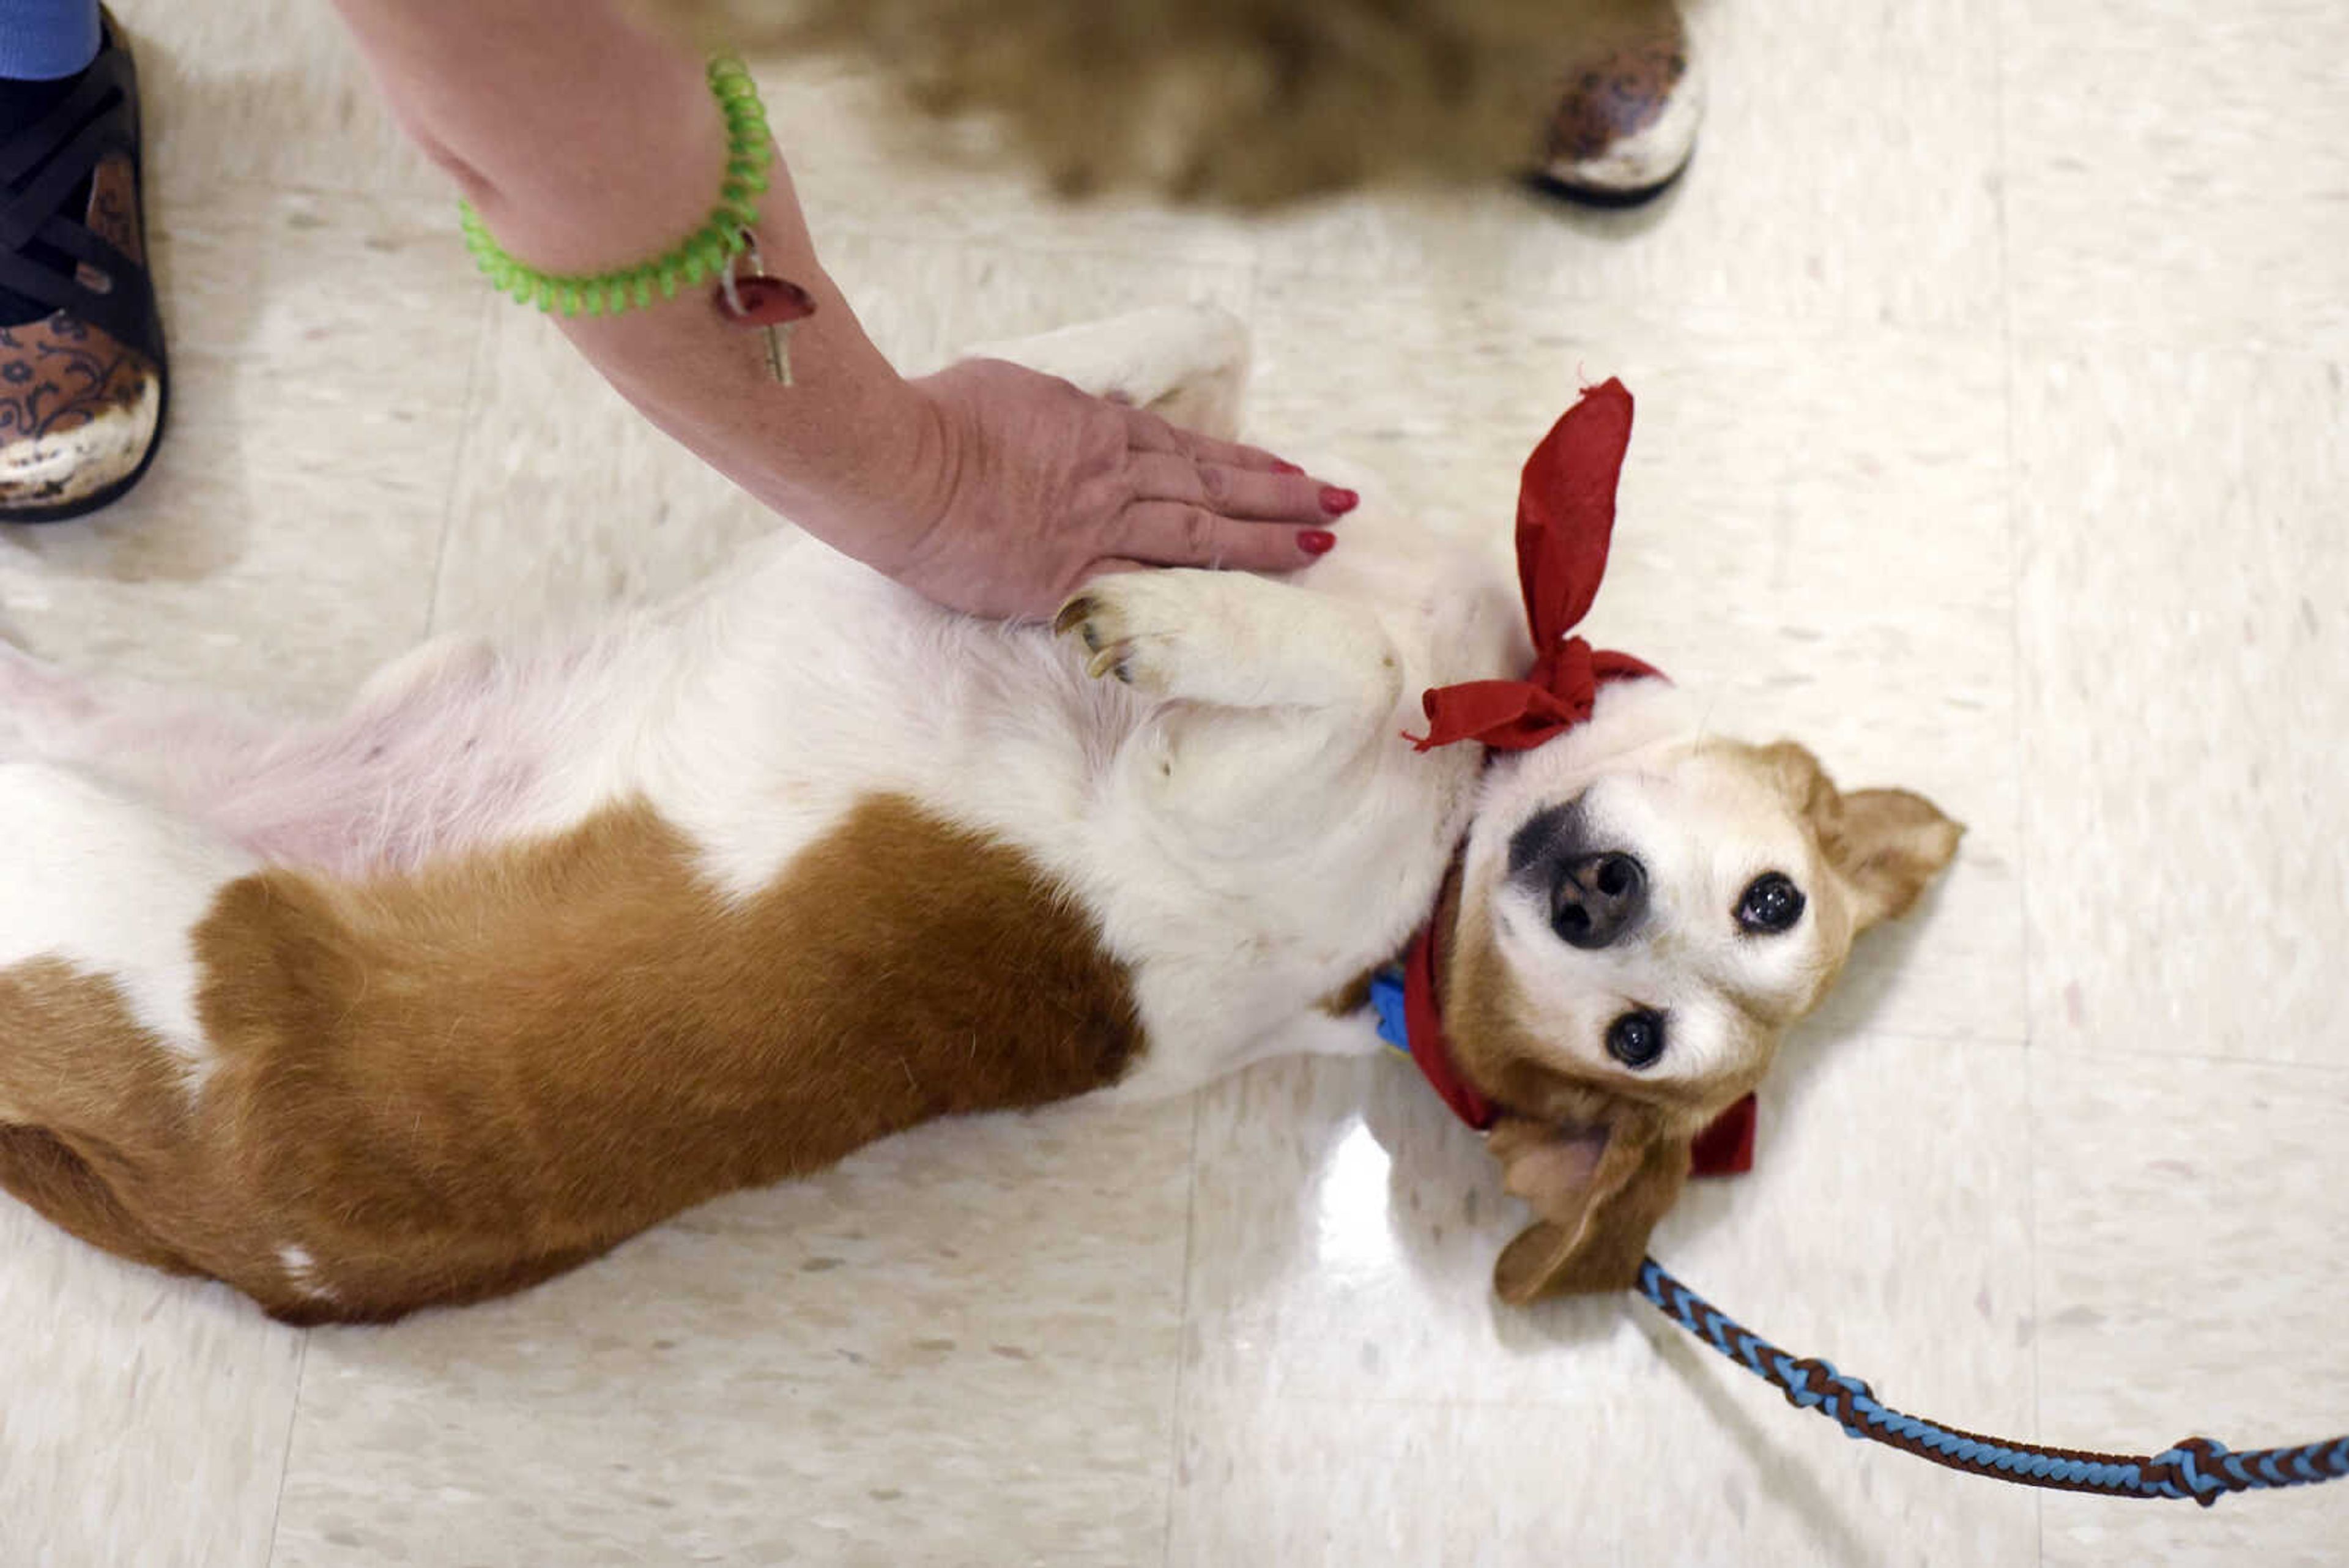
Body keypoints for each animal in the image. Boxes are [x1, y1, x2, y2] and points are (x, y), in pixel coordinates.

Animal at [0, 300, 1964, 1316]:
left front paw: (1163, 611)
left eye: (1641, 1044)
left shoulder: (1204, 784)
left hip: (77, 866)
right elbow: (1185, 341)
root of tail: (222, 1241)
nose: (1593, 897)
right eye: (1775, 895)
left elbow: (1330, 664)